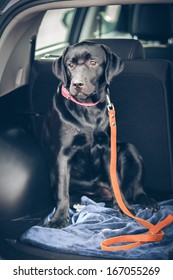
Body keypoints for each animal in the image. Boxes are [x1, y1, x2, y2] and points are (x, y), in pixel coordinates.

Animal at [41, 42, 157, 230]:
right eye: (70, 65)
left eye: (93, 63)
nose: (77, 84)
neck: (88, 108)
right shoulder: (63, 154)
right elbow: (62, 190)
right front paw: (59, 218)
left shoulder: (109, 149)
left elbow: (115, 181)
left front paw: (125, 208)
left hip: (130, 149)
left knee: (136, 189)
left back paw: (147, 202)